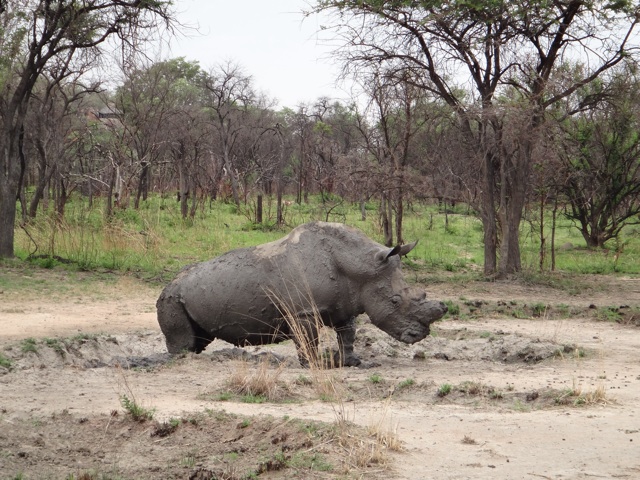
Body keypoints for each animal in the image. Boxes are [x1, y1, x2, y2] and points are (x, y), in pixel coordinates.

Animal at [156, 221, 447, 367]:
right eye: (395, 301)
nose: (420, 335)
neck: (360, 266)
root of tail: (169, 284)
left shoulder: (347, 304)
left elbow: (348, 335)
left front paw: (353, 362)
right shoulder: (303, 311)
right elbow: (309, 340)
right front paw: (314, 365)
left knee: (200, 339)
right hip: (170, 297)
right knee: (185, 341)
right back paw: (181, 360)